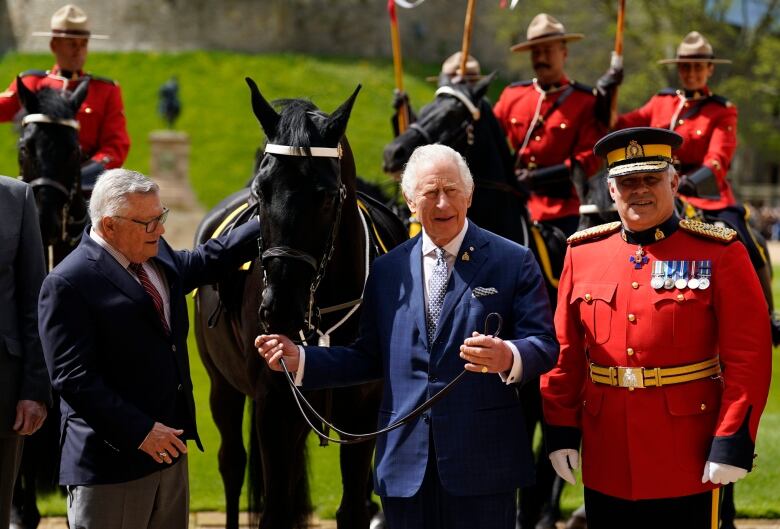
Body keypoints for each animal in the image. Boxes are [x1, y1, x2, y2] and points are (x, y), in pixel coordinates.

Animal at [193, 78, 408, 528]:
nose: (279, 308)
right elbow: (273, 509)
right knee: (232, 463)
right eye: (262, 191)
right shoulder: (275, 407)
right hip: (222, 386)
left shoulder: (362, 414)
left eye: (324, 196)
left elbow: (352, 508)